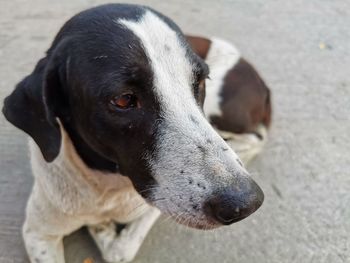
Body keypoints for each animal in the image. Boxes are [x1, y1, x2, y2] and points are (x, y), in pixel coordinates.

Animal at [2, 4, 270, 263]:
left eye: (201, 81)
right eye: (123, 100)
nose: (246, 203)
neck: (106, 186)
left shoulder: (156, 202)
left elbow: (121, 250)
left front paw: (101, 228)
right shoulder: (37, 233)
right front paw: (101, 225)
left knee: (256, 137)